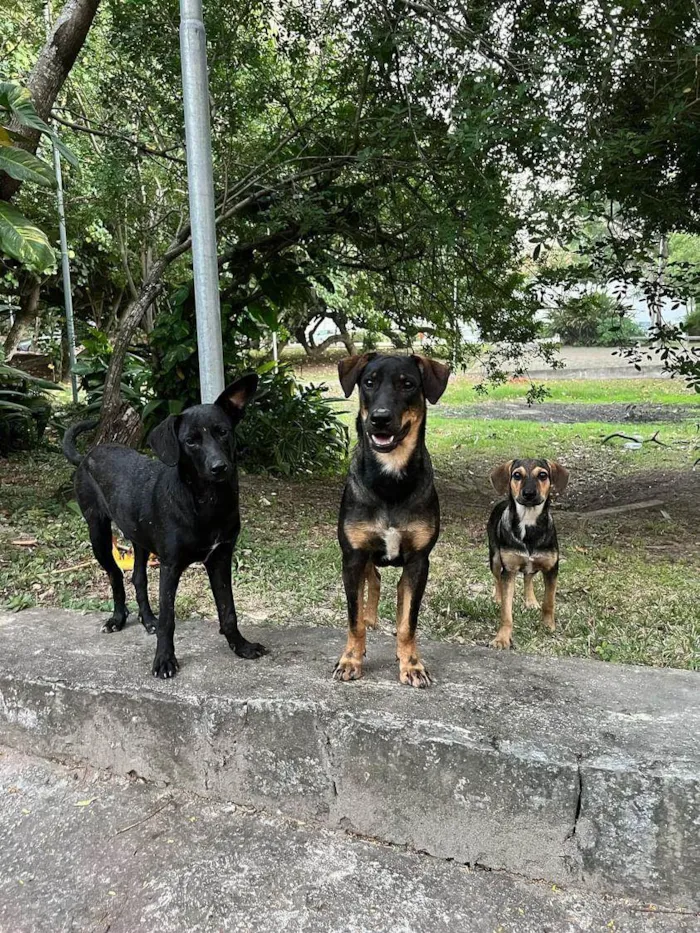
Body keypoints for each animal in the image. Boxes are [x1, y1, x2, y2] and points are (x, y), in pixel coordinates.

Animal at [336, 350, 452, 684]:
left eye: (408, 384)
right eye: (369, 382)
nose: (380, 418)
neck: (389, 481)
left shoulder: (419, 561)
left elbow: (408, 621)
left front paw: (411, 663)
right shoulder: (353, 555)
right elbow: (354, 618)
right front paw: (351, 659)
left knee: (399, 594)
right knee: (372, 581)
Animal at [486, 456, 568, 648]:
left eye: (543, 475)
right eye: (517, 475)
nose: (529, 494)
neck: (528, 522)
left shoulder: (552, 568)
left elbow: (549, 602)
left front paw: (548, 625)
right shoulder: (509, 570)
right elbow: (506, 612)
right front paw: (502, 638)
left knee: (528, 577)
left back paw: (530, 600)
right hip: (495, 558)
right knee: (497, 578)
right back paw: (498, 597)